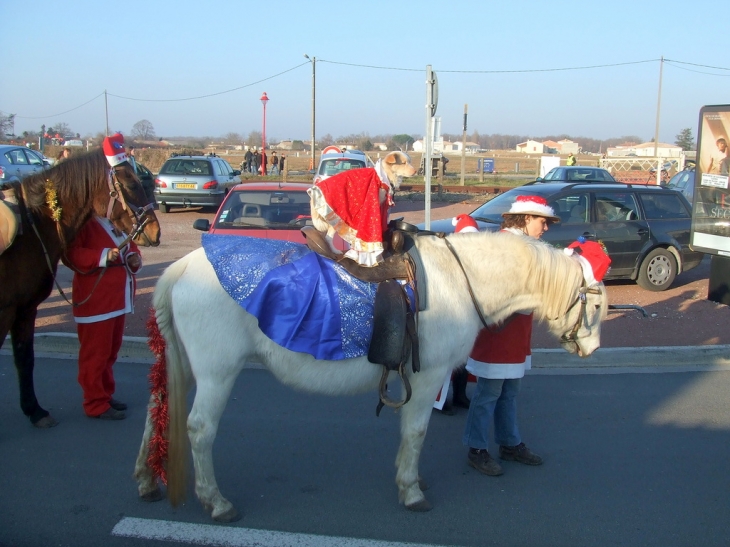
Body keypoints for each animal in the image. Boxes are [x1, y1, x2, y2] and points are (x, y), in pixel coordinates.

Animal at [0, 149, 161, 428]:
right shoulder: (6, 311)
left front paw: (35, 411)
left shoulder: (25, 309)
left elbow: (25, 358)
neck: (32, 229)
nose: (155, 231)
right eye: (131, 185)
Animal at [134, 230, 604, 524]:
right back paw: (216, 502)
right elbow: (416, 432)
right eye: (596, 306)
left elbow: (406, 433)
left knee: (157, 410)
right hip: (217, 373)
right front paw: (412, 491)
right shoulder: (428, 378)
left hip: (185, 365)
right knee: (199, 429)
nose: (592, 349)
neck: (459, 279)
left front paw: (408, 476)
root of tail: (180, 267)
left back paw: (145, 480)